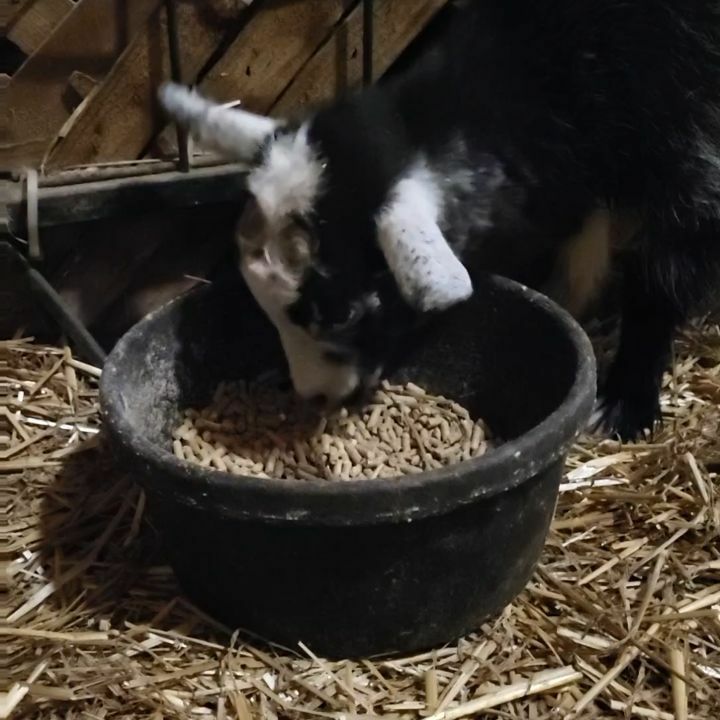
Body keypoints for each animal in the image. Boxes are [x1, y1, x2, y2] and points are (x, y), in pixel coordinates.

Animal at [159, 0, 720, 440]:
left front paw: (627, 401)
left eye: (343, 314)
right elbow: (585, 246)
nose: (312, 396)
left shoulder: (691, 152)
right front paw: (568, 302)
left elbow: (664, 275)